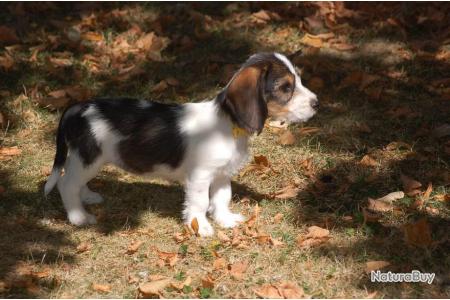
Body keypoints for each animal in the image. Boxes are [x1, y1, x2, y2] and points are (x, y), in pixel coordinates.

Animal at [44, 53, 316, 237]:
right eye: (285, 87)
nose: (317, 103)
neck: (227, 123)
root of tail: (78, 107)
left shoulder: (221, 175)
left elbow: (222, 198)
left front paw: (225, 220)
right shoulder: (200, 176)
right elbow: (200, 203)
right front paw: (201, 227)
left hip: (87, 161)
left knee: (76, 182)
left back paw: (88, 196)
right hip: (88, 158)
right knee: (66, 184)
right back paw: (78, 217)